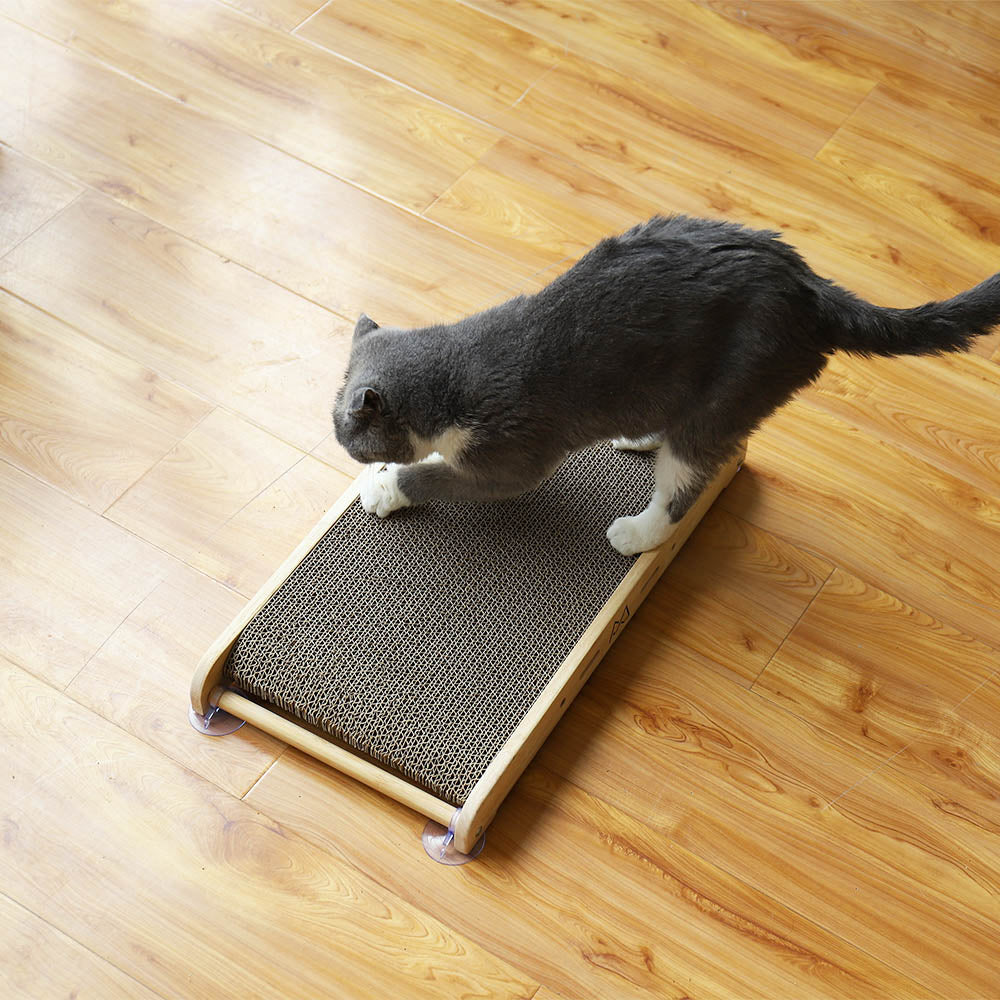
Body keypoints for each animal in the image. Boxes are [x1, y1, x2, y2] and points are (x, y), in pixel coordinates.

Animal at [334, 214, 1000, 556]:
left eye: (347, 438)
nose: (345, 449)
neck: (455, 364)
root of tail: (812, 287)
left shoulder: (507, 454)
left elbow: (439, 475)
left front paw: (386, 486)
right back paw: (637, 437)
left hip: (730, 391)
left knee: (687, 475)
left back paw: (637, 533)